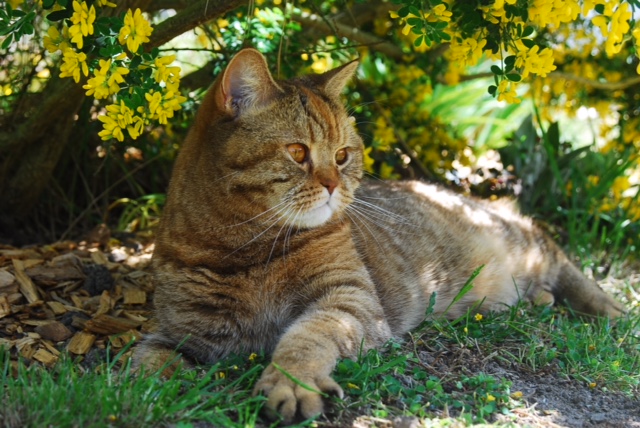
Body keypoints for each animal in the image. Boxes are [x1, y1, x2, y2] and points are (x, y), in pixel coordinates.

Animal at [136, 48, 624, 422]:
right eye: (297, 152)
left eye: (342, 155)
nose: (334, 183)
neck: (242, 248)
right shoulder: (171, 334)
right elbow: (143, 366)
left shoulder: (349, 300)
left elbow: (307, 337)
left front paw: (291, 381)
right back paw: (537, 300)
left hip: (526, 243)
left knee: (565, 263)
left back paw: (614, 313)